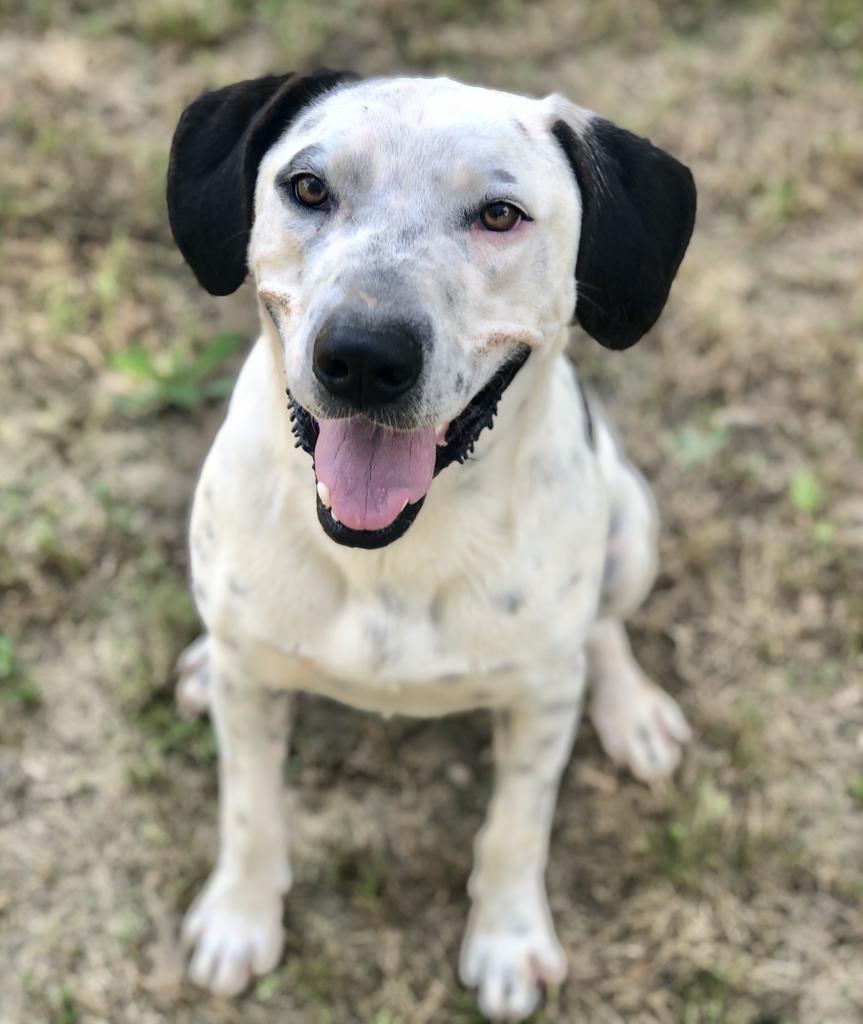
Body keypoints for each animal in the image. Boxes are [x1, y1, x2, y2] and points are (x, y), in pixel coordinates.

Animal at [166, 68, 696, 1019]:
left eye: (499, 215)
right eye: (308, 188)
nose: (364, 356)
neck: (390, 551)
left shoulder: (537, 706)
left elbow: (516, 830)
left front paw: (509, 940)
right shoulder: (251, 694)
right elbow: (250, 810)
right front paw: (239, 916)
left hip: (634, 527)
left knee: (601, 627)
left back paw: (629, 708)